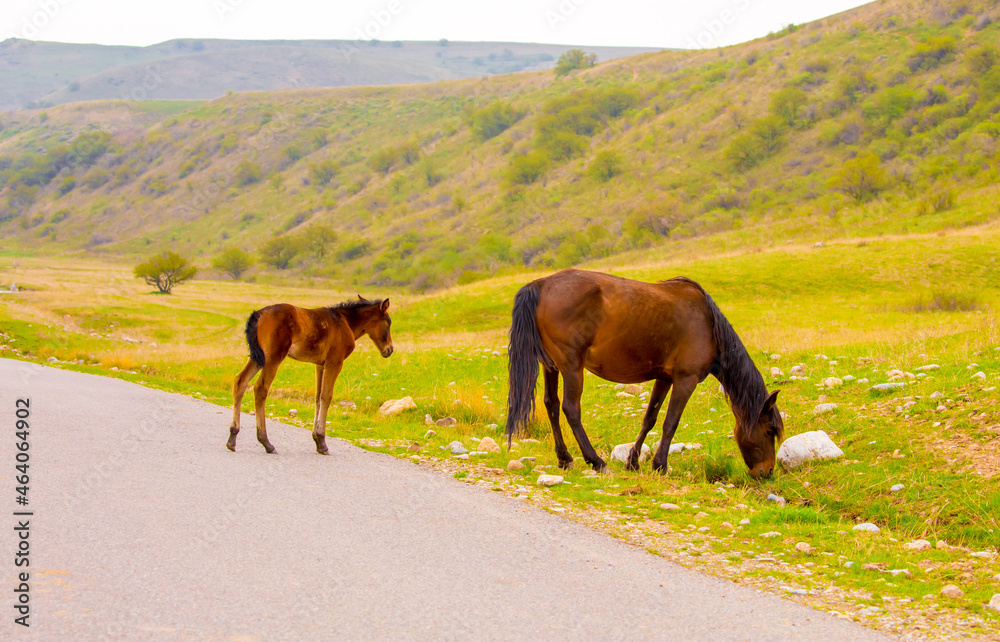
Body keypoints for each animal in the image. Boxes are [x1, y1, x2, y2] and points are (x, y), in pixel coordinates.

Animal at [227, 297, 393, 455]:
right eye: (389, 322)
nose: (390, 349)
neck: (344, 322)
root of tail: (258, 314)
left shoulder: (320, 364)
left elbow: (318, 397)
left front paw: (317, 441)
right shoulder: (334, 362)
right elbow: (326, 396)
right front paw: (322, 442)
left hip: (257, 357)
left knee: (240, 381)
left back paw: (232, 438)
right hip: (273, 357)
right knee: (261, 388)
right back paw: (266, 443)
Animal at [505, 269, 783, 479]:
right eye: (769, 430)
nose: (767, 471)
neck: (708, 325)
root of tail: (541, 284)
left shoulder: (665, 378)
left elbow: (650, 418)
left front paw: (633, 462)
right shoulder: (686, 380)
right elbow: (671, 422)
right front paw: (660, 465)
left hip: (551, 366)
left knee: (551, 405)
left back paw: (565, 459)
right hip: (572, 367)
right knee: (571, 409)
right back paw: (596, 461)